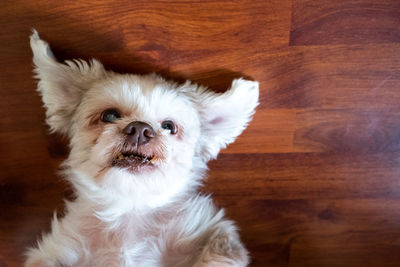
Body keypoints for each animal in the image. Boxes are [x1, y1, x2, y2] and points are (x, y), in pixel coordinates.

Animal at [27, 30, 260, 267]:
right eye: (109, 115)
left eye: (169, 126)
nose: (140, 129)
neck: (130, 212)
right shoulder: (57, 250)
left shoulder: (211, 234)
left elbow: (223, 249)